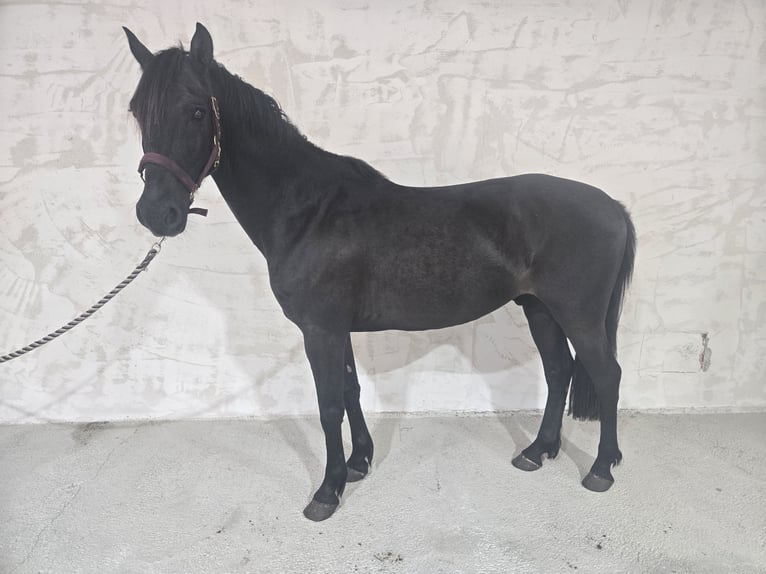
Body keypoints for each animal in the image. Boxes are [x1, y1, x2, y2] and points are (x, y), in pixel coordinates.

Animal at [123, 23, 636, 522]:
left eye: (196, 112)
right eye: (137, 112)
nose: (157, 214)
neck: (307, 209)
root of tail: (613, 206)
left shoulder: (320, 330)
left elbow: (329, 404)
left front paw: (326, 492)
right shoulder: (336, 329)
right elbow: (351, 391)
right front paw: (357, 464)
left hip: (579, 316)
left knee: (606, 375)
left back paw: (600, 469)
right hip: (539, 308)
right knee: (559, 369)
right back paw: (537, 451)